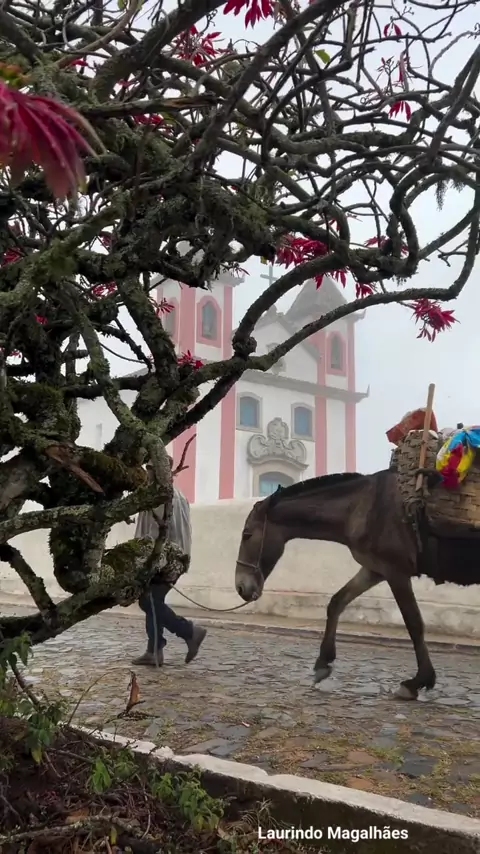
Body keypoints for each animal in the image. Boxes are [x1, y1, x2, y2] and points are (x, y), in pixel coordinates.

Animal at [234, 470, 480, 700]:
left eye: (247, 534)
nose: (240, 587)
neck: (363, 505)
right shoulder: (374, 570)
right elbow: (336, 602)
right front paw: (323, 663)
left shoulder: (396, 572)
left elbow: (414, 623)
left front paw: (418, 681)